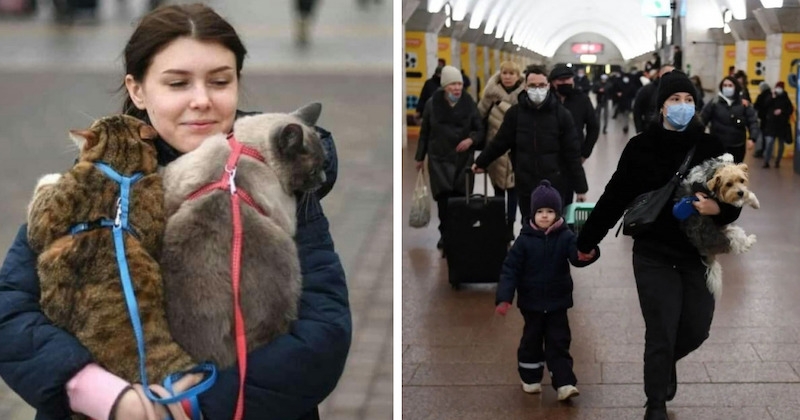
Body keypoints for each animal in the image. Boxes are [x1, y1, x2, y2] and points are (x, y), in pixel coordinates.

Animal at [680, 153, 760, 298]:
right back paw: (750, 240)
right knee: (740, 246)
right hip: (732, 233)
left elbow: (728, 157)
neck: (712, 172)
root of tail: (705, 250)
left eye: (742, 180)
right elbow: (739, 200)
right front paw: (753, 201)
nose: (740, 192)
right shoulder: (726, 199)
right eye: (728, 184)